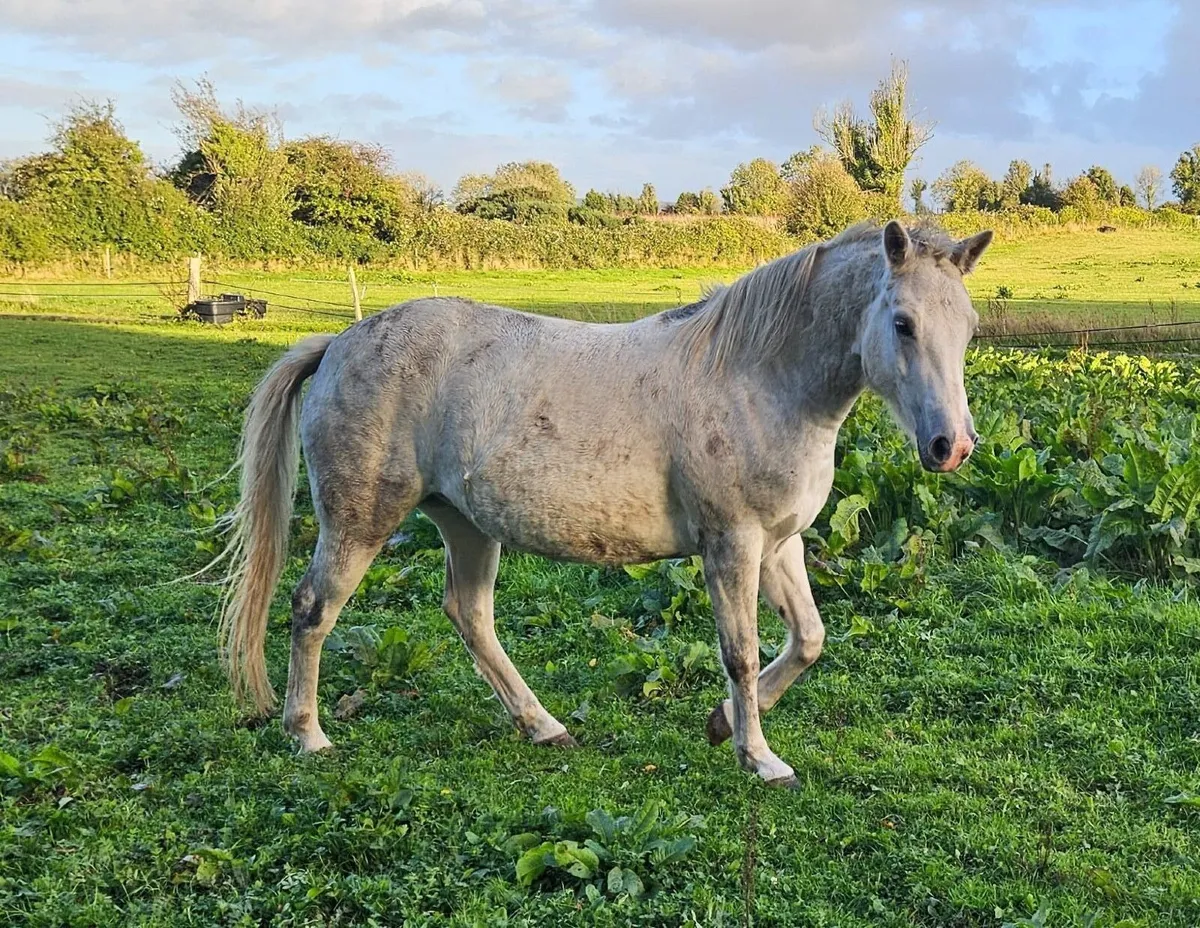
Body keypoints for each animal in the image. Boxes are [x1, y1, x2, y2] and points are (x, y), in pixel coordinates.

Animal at [212, 219, 992, 786]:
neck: (757, 376)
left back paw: (543, 726)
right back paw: (309, 735)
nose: (952, 445)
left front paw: (722, 725)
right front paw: (759, 759)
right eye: (902, 323)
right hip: (360, 523)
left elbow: (807, 640)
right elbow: (741, 654)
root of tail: (338, 342)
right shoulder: (731, 544)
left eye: (967, 328)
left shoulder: (779, 543)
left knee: (470, 616)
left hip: (466, 525)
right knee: (312, 610)